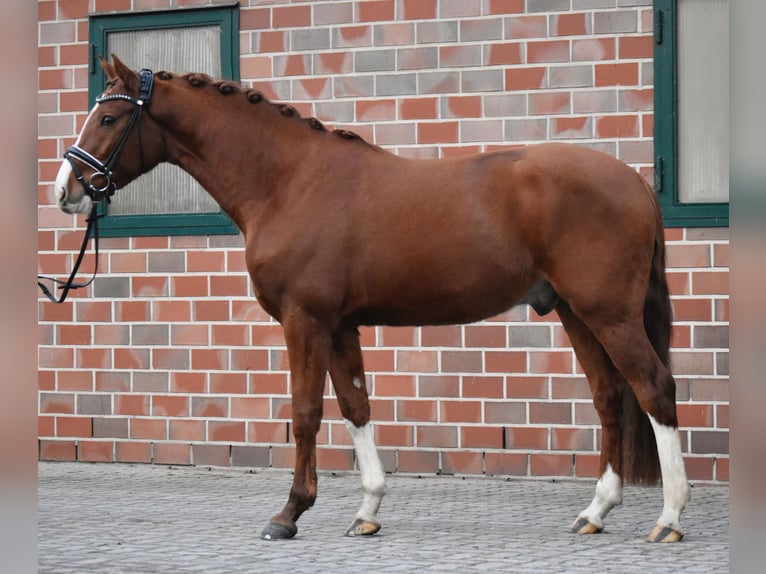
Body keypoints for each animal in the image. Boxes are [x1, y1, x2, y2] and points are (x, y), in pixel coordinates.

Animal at [52, 57, 688, 544]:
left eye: (108, 116)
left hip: (609, 313)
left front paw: (289, 514)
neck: (289, 182)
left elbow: (305, 413)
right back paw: (595, 512)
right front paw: (367, 511)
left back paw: (669, 518)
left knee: (653, 388)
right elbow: (356, 407)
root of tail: (633, 179)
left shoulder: (304, 320)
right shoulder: (339, 326)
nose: (67, 191)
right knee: (609, 398)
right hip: (578, 313)